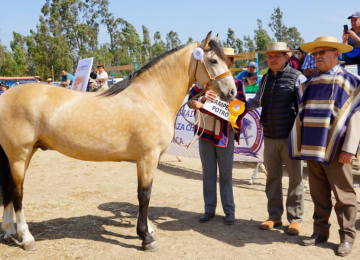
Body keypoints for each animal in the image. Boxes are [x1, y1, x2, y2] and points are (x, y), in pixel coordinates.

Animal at [0, 31, 236, 252]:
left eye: (226, 60)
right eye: (213, 60)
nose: (232, 92)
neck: (150, 97)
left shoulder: (149, 159)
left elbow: (145, 195)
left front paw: (148, 229)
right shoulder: (147, 158)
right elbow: (144, 195)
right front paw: (146, 237)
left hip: (24, 153)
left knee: (11, 189)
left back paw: (10, 231)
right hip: (19, 154)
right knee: (17, 191)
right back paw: (26, 237)